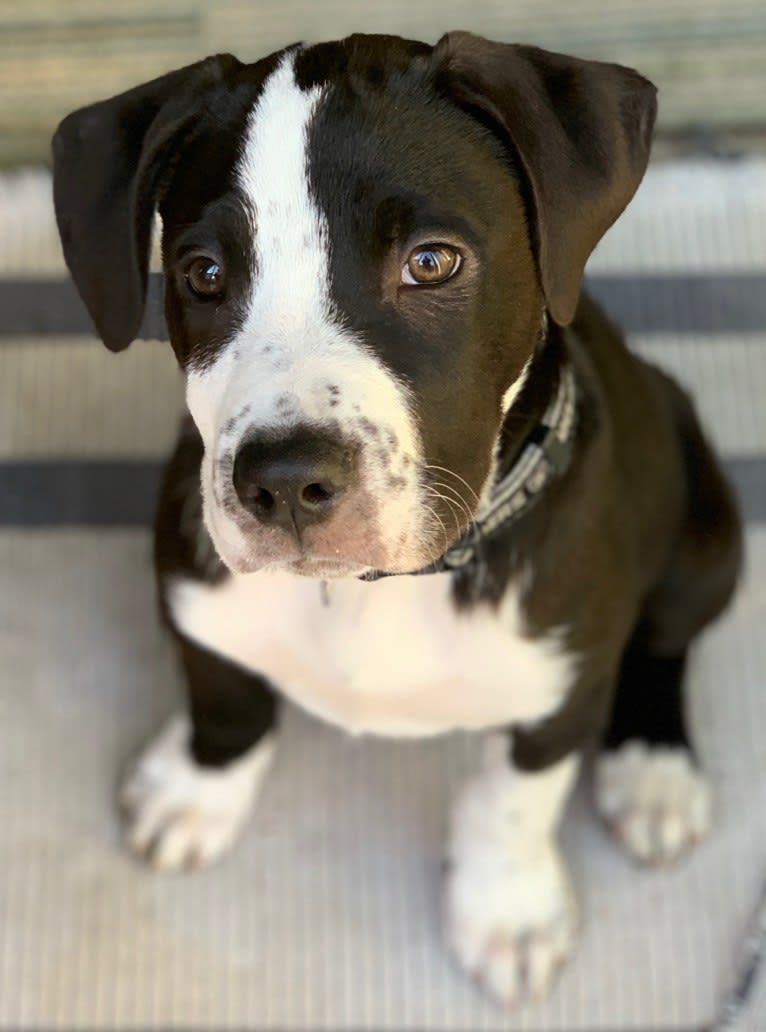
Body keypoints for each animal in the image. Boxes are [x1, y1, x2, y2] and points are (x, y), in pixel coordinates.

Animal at [52, 32, 743, 1007]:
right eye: (203, 274)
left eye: (432, 261)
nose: (284, 481)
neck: (374, 592)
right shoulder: (189, 591)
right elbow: (223, 694)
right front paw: (197, 787)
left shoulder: (564, 685)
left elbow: (514, 798)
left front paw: (508, 910)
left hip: (708, 532)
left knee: (668, 638)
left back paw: (652, 769)